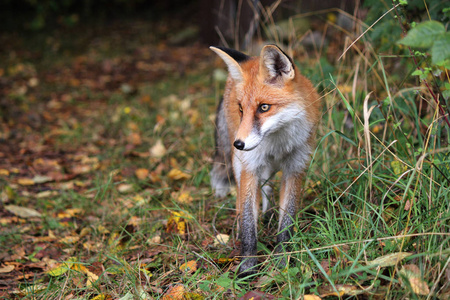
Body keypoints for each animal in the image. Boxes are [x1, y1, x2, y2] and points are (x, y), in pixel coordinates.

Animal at [211, 45, 320, 276]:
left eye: (264, 107)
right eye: (241, 109)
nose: (238, 144)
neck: (277, 145)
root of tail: (251, 57)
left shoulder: (295, 168)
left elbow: (286, 223)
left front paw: (282, 261)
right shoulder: (250, 168)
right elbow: (249, 226)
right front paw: (247, 266)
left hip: (266, 169)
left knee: (267, 188)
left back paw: (268, 214)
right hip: (239, 164)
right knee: (241, 201)